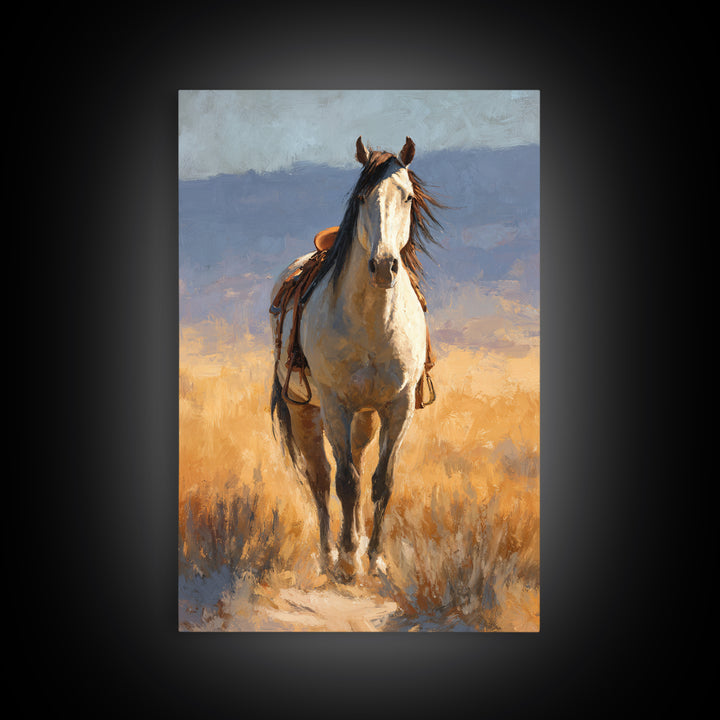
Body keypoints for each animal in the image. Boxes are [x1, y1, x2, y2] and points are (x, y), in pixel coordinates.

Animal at [269, 136, 444, 580]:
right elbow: (344, 480)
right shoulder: (336, 405)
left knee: (361, 466)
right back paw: (329, 554)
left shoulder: (399, 406)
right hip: (306, 411)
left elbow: (382, 481)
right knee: (320, 477)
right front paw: (348, 559)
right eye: (363, 196)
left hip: (366, 416)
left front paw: (376, 556)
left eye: (407, 196)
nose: (383, 267)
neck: (373, 322)